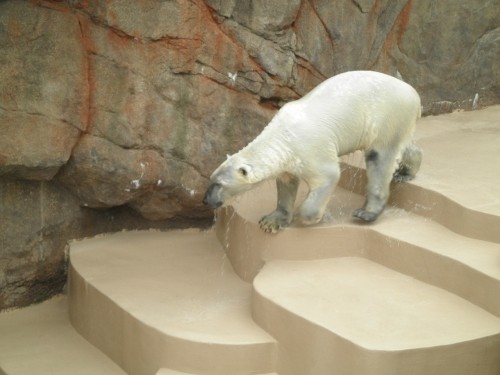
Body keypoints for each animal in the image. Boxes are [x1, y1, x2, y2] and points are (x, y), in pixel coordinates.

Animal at [203, 71, 422, 234]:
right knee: (403, 147)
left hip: (388, 115)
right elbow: (286, 183)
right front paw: (271, 221)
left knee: (379, 158)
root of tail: (413, 92)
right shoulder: (287, 160)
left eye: (220, 184)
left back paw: (366, 212)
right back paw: (406, 171)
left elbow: (328, 175)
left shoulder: (310, 148)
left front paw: (311, 217)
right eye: (211, 179)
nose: (206, 200)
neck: (281, 135)